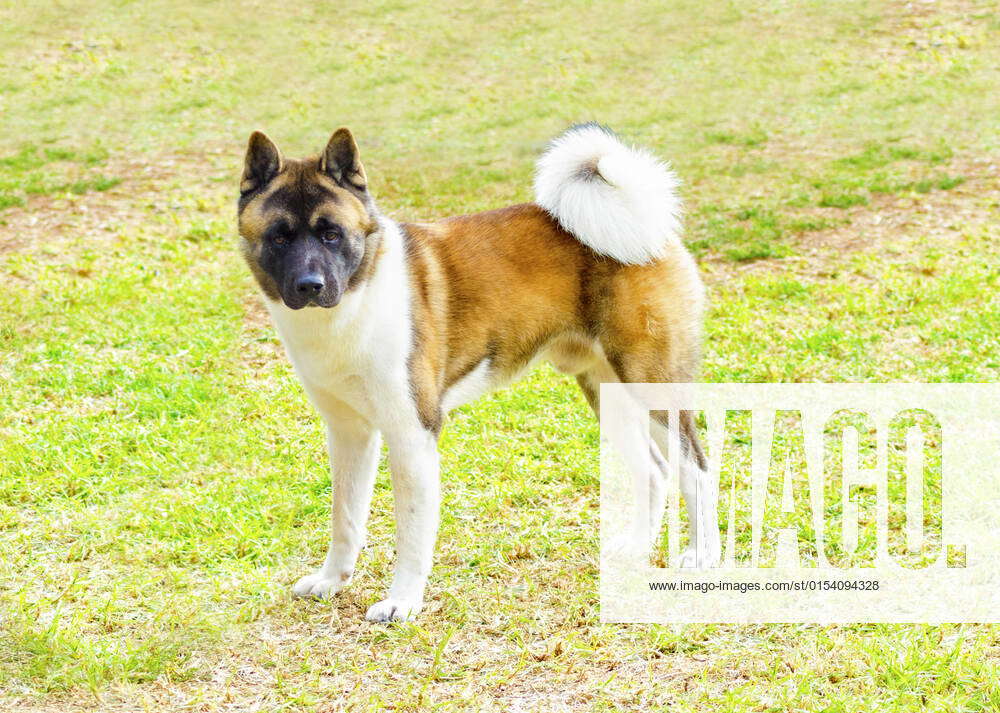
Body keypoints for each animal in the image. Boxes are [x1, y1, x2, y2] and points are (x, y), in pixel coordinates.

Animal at [234, 125, 720, 620]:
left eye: (332, 234)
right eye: (279, 238)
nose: (310, 286)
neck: (358, 298)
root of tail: (645, 223)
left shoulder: (413, 434)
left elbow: (412, 532)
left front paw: (402, 602)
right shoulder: (350, 434)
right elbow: (345, 519)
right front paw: (333, 581)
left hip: (653, 387)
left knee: (696, 469)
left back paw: (700, 554)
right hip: (610, 394)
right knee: (654, 470)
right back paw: (636, 547)